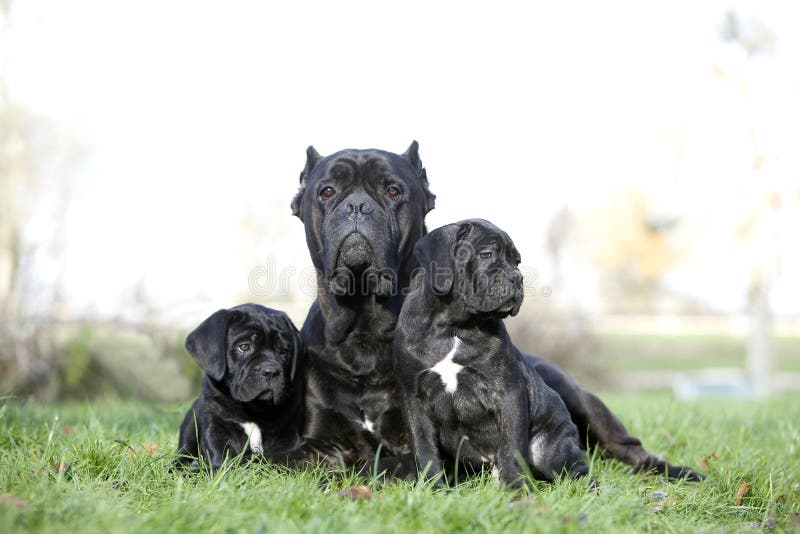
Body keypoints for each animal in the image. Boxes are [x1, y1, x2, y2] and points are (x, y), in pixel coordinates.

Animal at [173, 306, 308, 474]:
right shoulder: (216, 424)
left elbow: (276, 456)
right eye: (244, 347)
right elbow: (221, 455)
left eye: (284, 350)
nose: (271, 371)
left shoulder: (286, 433)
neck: (254, 409)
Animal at [396, 220, 592, 488]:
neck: (453, 327)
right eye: (486, 254)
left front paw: (515, 488)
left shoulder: (508, 392)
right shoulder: (414, 398)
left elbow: (512, 446)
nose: (517, 277)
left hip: (550, 450)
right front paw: (432, 487)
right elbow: (424, 448)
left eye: (517, 261)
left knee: (574, 469)